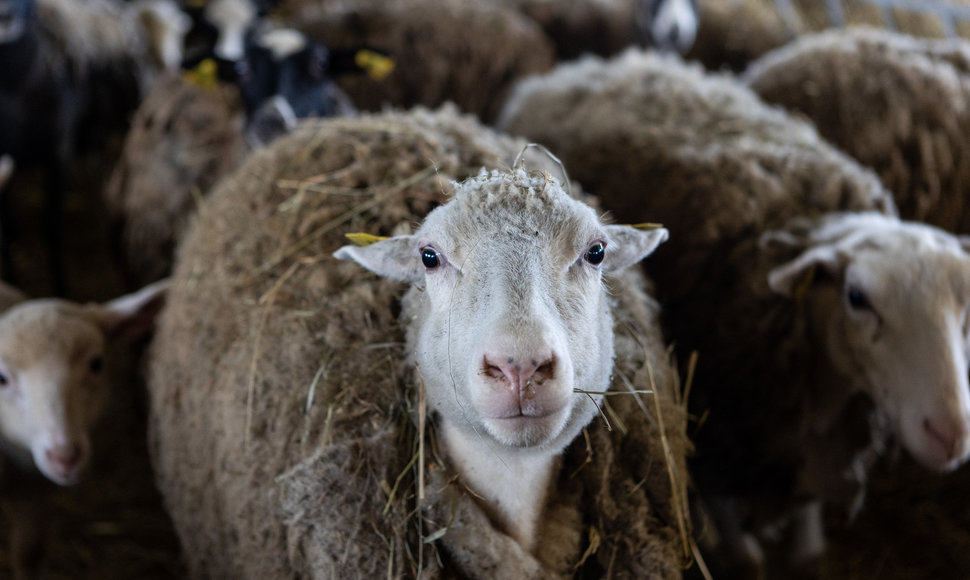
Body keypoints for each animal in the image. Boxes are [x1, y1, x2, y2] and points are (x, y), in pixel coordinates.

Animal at [500, 48, 970, 576]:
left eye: (965, 307)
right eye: (857, 298)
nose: (950, 435)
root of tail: (594, 64)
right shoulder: (722, 432)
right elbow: (738, 537)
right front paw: (742, 552)